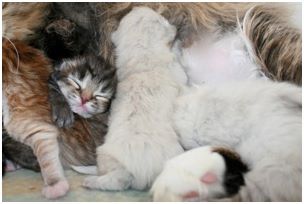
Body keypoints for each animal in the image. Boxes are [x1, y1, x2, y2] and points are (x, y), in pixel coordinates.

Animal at [81, 6, 185, 191]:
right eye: (162, 19)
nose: (176, 28)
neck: (143, 57)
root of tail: (134, 170)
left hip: (105, 157)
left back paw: (92, 180)